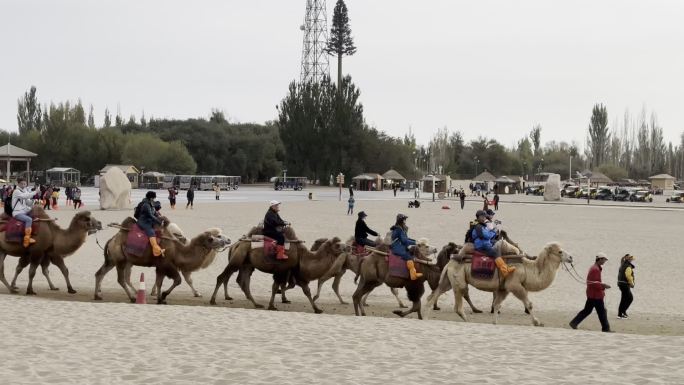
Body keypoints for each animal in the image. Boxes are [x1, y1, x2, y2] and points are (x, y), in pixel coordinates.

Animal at [93, 219, 230, 304]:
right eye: (213, 238)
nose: (227, 241)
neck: (178, 250)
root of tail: (112, 240)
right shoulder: (167, 265)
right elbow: (178, 280)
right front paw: (163, 296)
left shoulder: (161, 267)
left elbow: (159, 282)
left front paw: (160, 299)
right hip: (120, 260)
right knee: (120, 279)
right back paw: (132, 297)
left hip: (113, 260)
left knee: (100, 273)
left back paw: (97, 296)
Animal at [208, 234, 348, 312]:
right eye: (337, 245)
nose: (348, 247)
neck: (303, 256)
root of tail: (236, 244)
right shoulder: (282, 270)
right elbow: (275, 287)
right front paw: (272, 306)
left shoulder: (295, 273)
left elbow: (306, 291)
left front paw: (317, 309)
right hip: (237, 260)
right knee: (222, 277)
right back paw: (213, 300)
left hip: (247, 264)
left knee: (243, 282)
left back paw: (257, 304)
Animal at [424, 242, 576, 326]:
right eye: (560, 251)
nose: (571, 257)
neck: (527, 269)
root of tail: (449, 263)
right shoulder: (515, 285)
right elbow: (529, 304)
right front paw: (537, 322)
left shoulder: (504, 289)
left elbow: (497, 305)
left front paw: (495, 322)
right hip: (458, 281)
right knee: (458, 305)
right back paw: (467, 320)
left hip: (448, 281)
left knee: (433, 296)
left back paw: (425, 317)